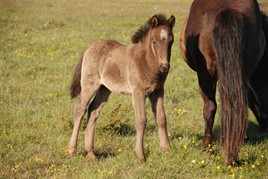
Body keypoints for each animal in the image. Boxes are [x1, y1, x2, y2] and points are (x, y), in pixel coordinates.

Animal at [68, 14, 176, 162]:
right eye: (154, 41)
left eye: (171, 41)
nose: (165, 67)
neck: (146, 61)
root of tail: (88, 48)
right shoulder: (138, 92)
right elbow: (141, 120)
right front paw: (140, 155)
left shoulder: (158, 91)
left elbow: (161, 118)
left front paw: (167, 150)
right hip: (90, 85)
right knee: (80, 110)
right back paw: (72, 150)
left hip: (104, 89)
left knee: (93, 111)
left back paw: (90, 153)